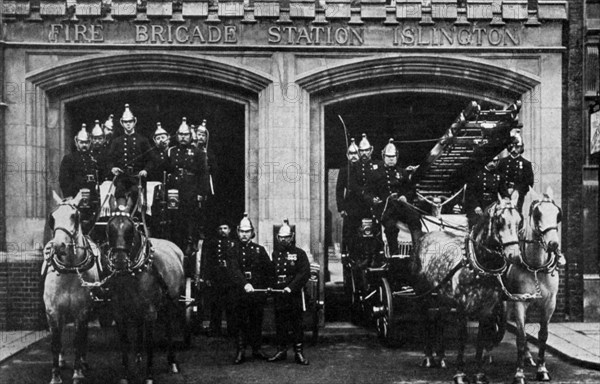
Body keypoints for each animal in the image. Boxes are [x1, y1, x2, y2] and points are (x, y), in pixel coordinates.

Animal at [43, 192, 101, 384]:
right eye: (52, 218)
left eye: (74, 216)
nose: (58, 245)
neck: (68, 272)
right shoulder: (53, 311)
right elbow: (55, 342)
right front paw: (55, 376)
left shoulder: (82, 311)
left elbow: (78, 340)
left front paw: (77, 373)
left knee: (83, 337)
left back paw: (83, 362)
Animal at [103, 212, 184, 382]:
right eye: (110, 229)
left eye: (130, 230)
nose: (120, 261)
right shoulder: (119, 312)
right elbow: (124, 342)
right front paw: (125, 375)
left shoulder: (150, 313)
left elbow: (150, 342)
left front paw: (149, 375)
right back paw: (139, 356)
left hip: (170, 304)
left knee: (169, 330)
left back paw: (172, 362)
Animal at [412, 190, 520, 382]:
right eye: (500, 221)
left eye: (520, 221)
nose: (514, 255)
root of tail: (425, 235)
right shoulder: (462, 307)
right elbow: (462, 338)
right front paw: (460, 373)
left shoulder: (487, 309)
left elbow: (481, 339)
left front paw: (479, 373)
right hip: (424, 294)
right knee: (426, 319)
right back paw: (428, 357)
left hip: (443, 297)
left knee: (439, 318)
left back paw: (440, 357)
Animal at [506, 188, 564, 384]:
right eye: (537, 214)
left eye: (558, 214)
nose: (553, 244)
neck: (536, 267)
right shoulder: (518, 302)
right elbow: (521, 336)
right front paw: (519, 374)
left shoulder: (550, 303)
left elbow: (542, 335)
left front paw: (542, 369)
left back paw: (527, 357)